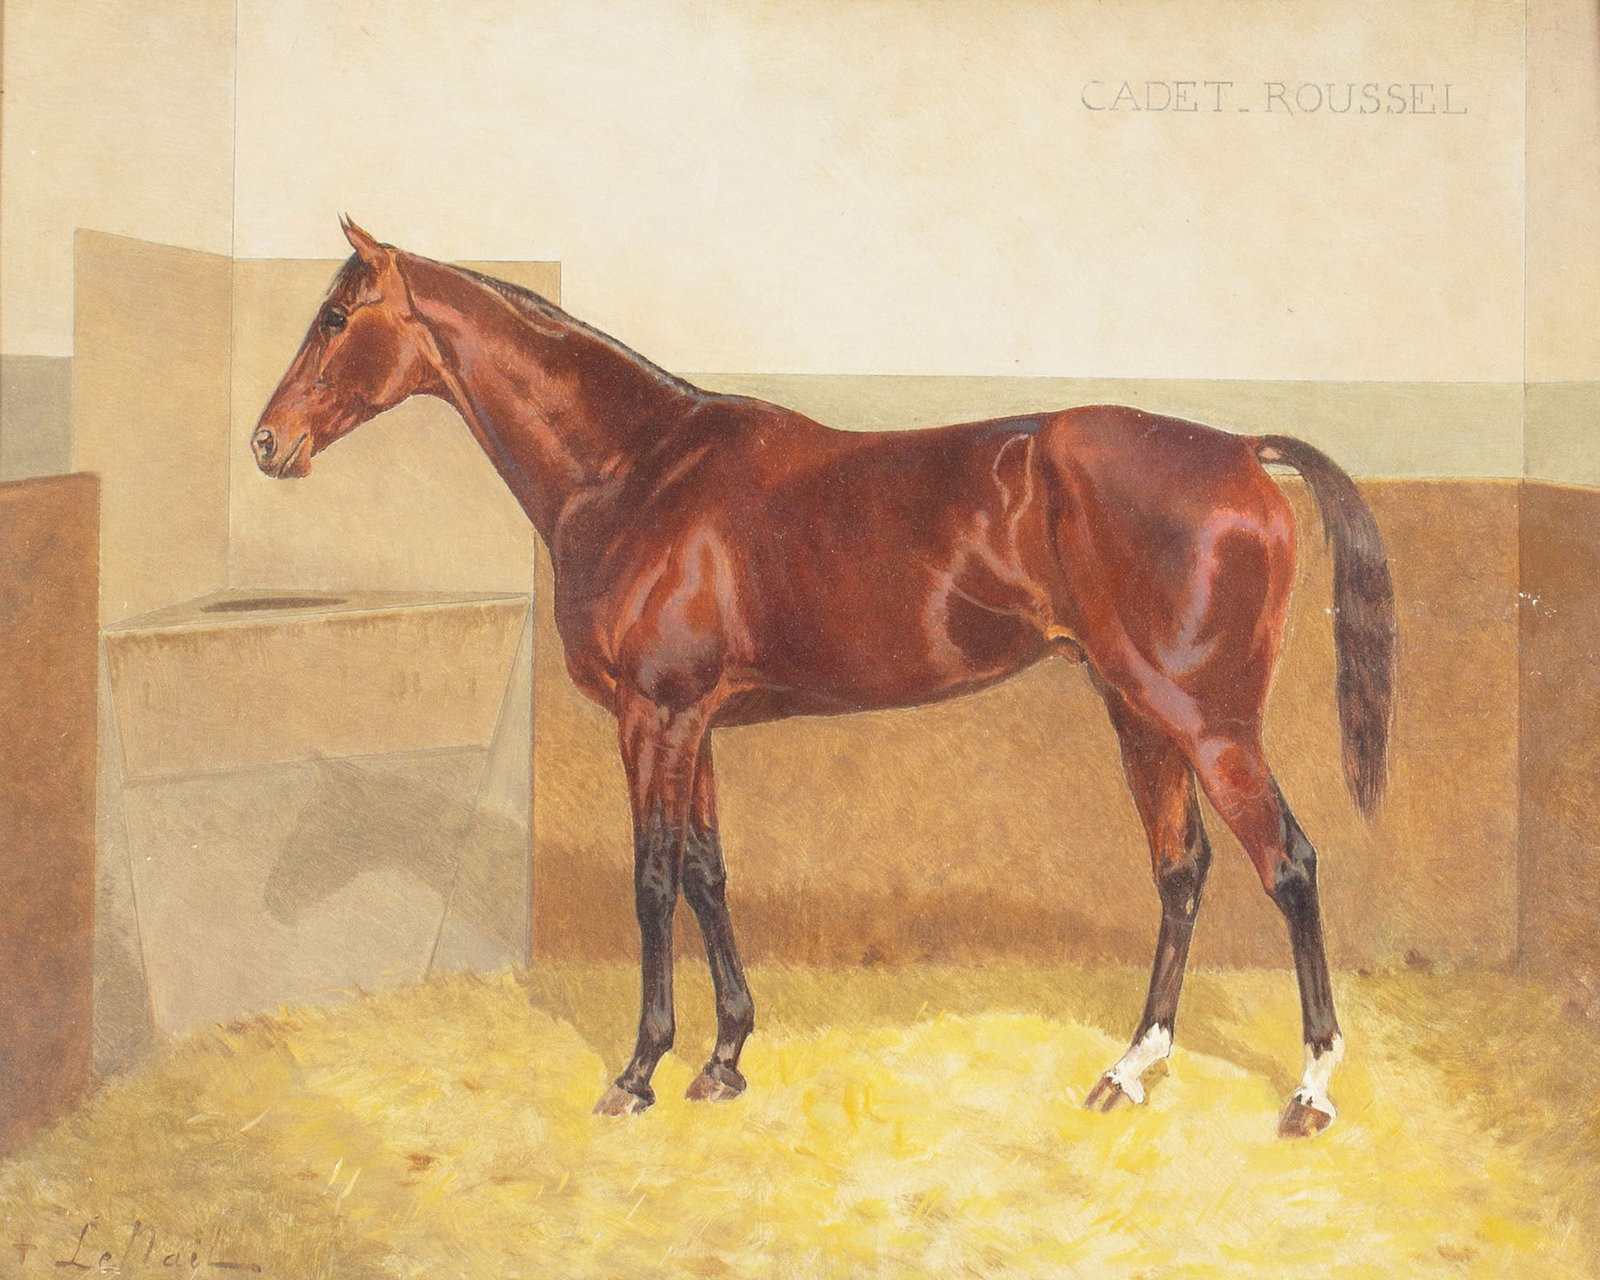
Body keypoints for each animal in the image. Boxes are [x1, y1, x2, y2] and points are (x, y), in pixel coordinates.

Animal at [253, 219, 1395, 1138]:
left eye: (336, 315)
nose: (268, 442)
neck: (636, 470)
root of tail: (1241, 450)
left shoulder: (654, 718)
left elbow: (652, 880)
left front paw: (640, 1068)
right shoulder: (694, 724)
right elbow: (708, 873)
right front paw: (724, 1057)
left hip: (1208, 722)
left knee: (1289, 864)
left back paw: (1311, 1089)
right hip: (1138, 712)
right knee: (1180, 868)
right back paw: (1129, 1067)